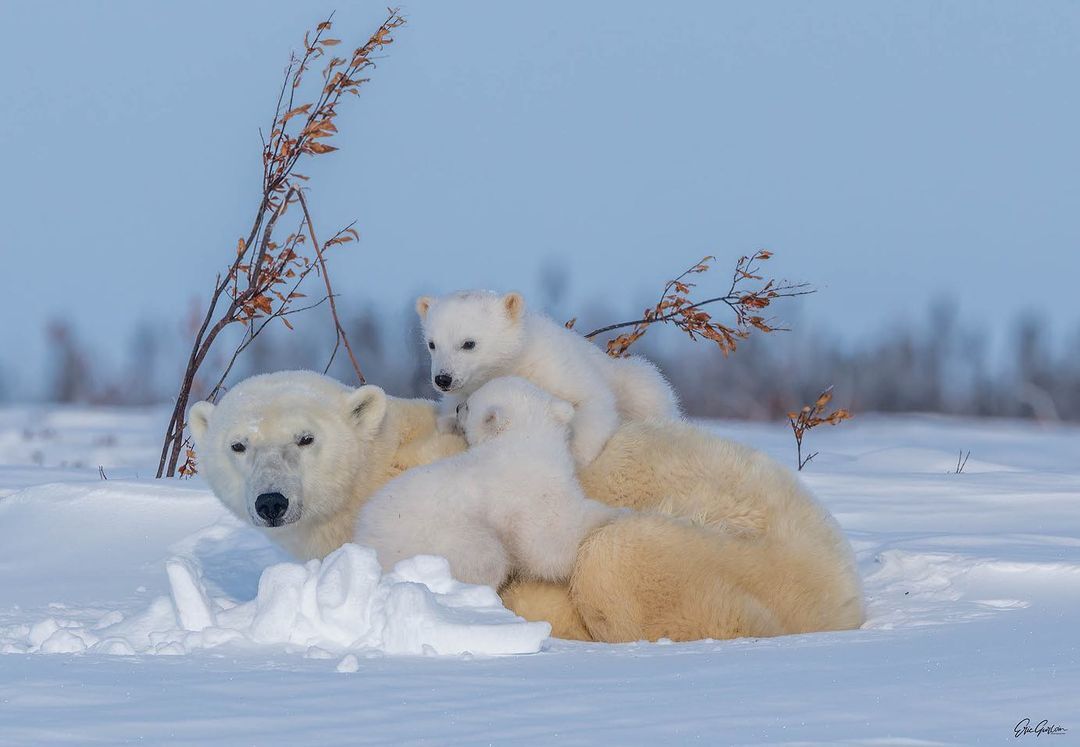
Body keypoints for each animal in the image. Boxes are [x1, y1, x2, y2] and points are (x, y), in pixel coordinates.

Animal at [190, 371, 864, 639]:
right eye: (238, 444)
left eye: (306, 439)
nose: (271, 502)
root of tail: (846, 592)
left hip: (758, 561)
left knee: (621, 557)